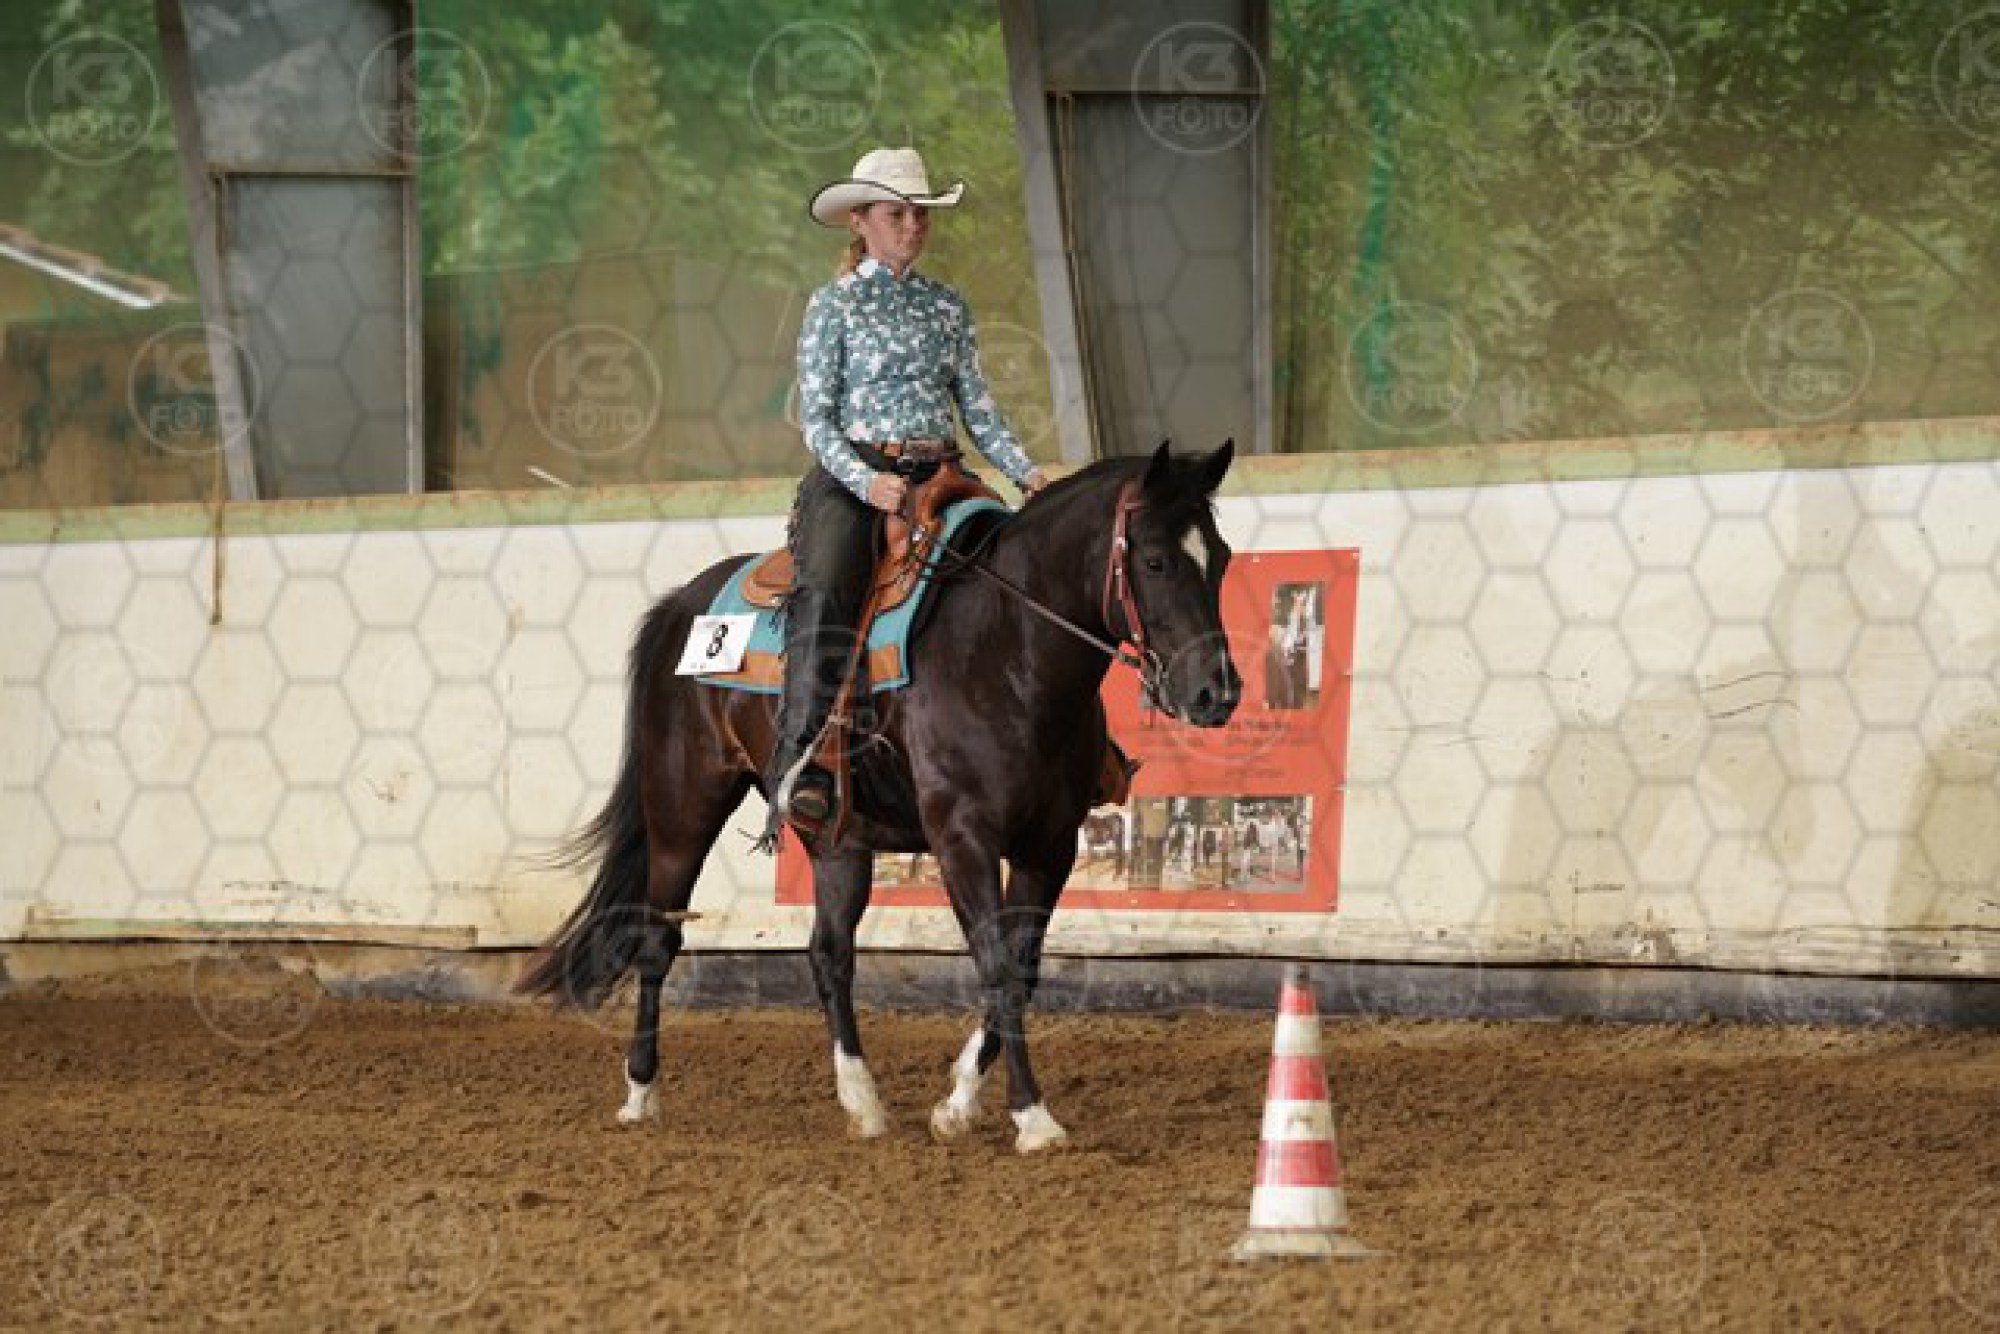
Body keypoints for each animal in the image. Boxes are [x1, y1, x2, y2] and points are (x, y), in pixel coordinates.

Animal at [516, 441, 1240, 1152]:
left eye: (1223, 558)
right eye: (1155, 559)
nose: (1218, 692)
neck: (1005, 649)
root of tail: (680, 605)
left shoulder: (1050, 844)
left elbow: (1023, 967)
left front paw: (956, 1103)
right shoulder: (962, 838)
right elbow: (997, 966)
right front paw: (1033, 1116)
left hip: (839, 841)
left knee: (829, 954)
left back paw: (861, 1100)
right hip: (682, 808)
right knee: (656, 939)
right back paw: (640, 1092)